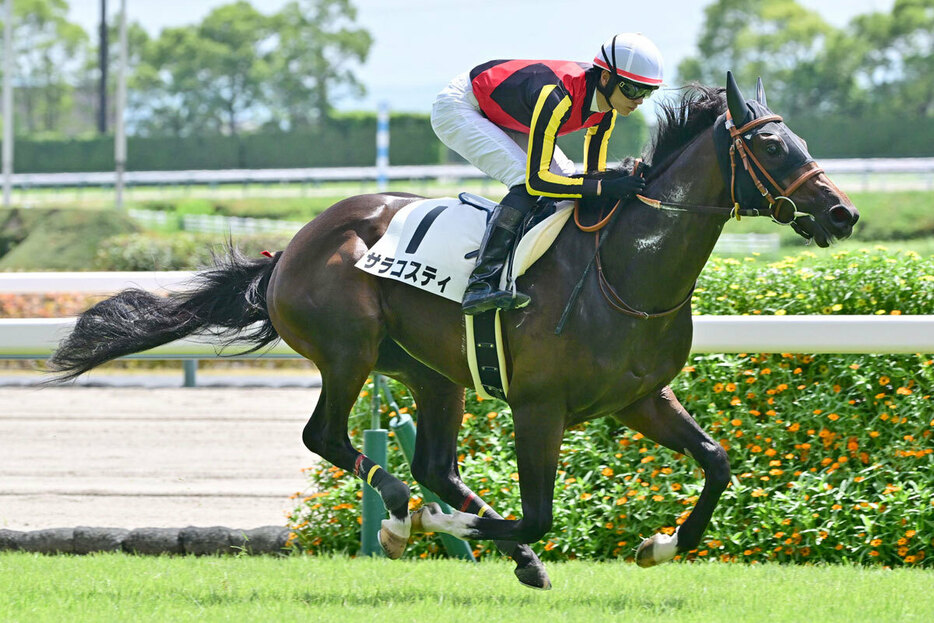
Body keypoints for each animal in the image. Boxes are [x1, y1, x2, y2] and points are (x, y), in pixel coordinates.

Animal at [47, 74, 860, 588]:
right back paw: (402, 516)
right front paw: (449, 530)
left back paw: (453, 527)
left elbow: (717, 461)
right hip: (349, 348)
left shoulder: (639, 397)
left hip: (434, 372)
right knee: (328, 437)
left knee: (435, 463)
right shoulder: (540, 407)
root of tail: (291, 248)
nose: (843, 212)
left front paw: (662, 545)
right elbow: (538, 513)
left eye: (800, 140)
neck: (626, 272)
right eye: (774, 148)